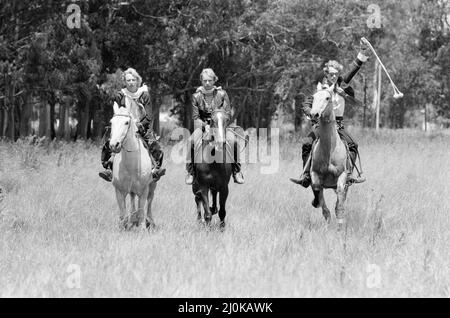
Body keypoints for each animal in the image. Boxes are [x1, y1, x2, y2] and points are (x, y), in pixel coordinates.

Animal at [310, 85, 352, 229]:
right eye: (313, 97)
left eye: (327, 98)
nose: (313, 114)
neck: (329, 150)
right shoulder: (315, 174)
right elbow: (319, 194)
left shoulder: (343, 175)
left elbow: (339, 202)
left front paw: (340, 225)